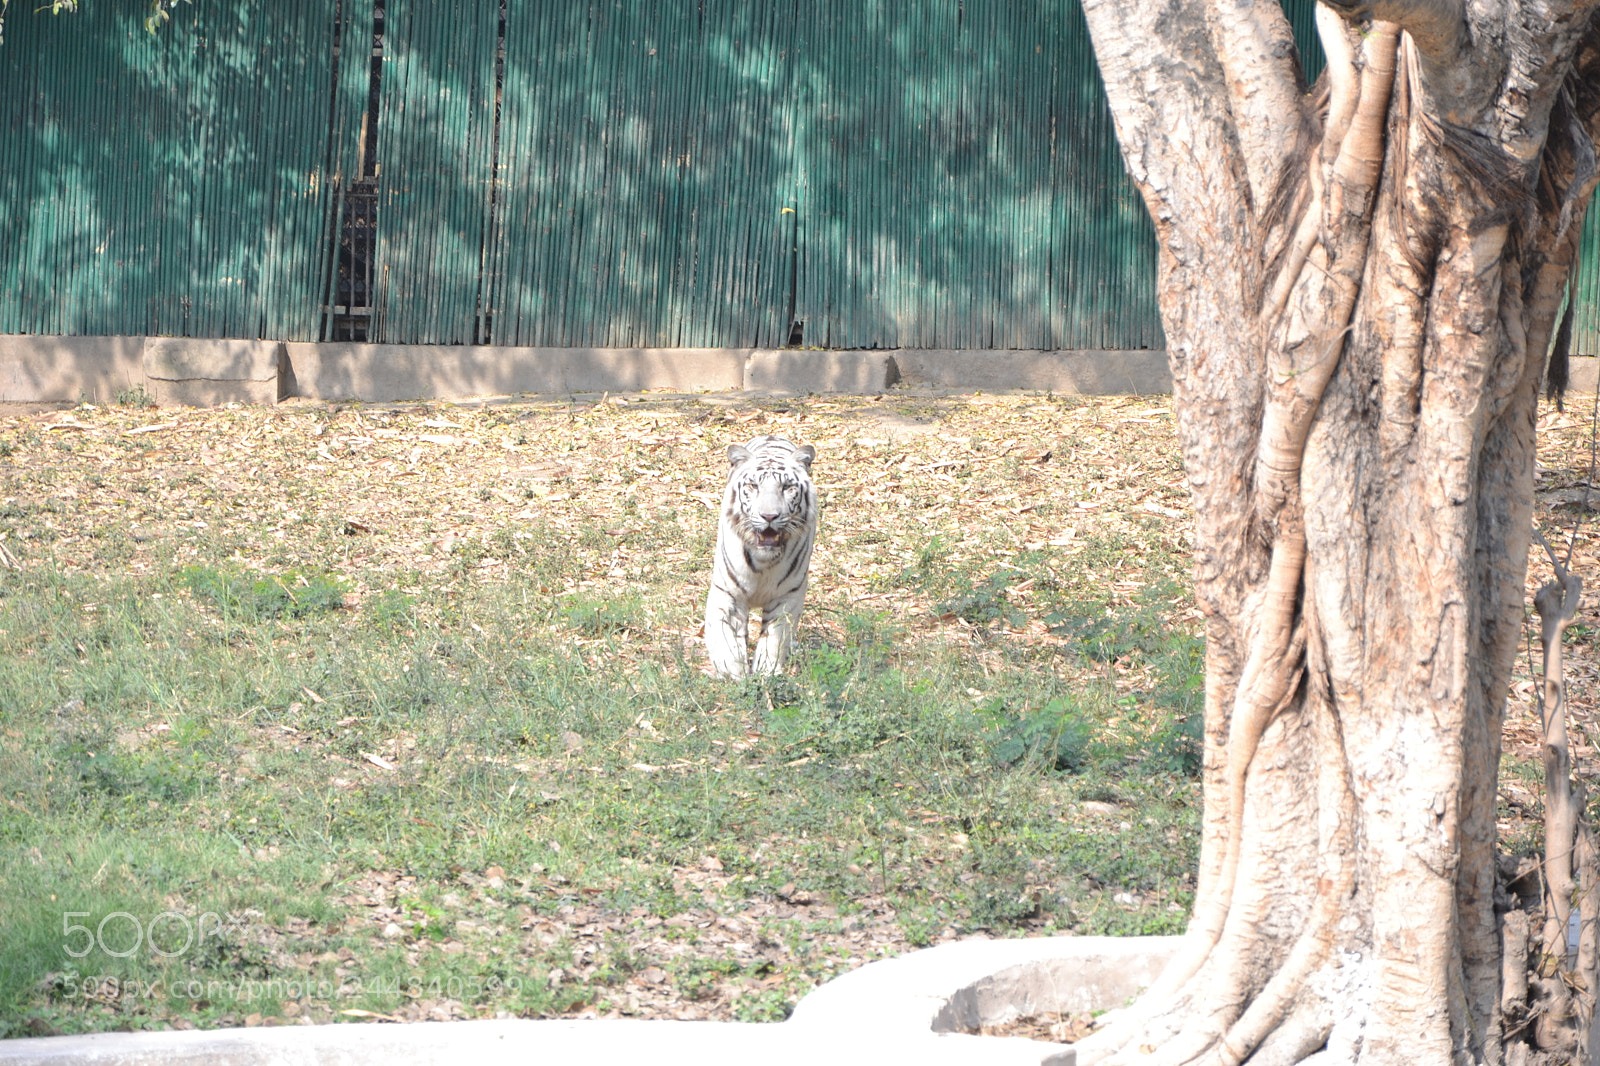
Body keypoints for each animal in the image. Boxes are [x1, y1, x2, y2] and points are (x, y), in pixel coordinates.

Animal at [704, 434, 819, 678]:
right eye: (753, 486)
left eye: (787, 487)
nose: (769, 516)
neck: (763, 561)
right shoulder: (728, 593)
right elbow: (724, 636)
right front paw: (732, 674)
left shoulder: (788, 596)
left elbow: (774, 640)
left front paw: (766, 674)